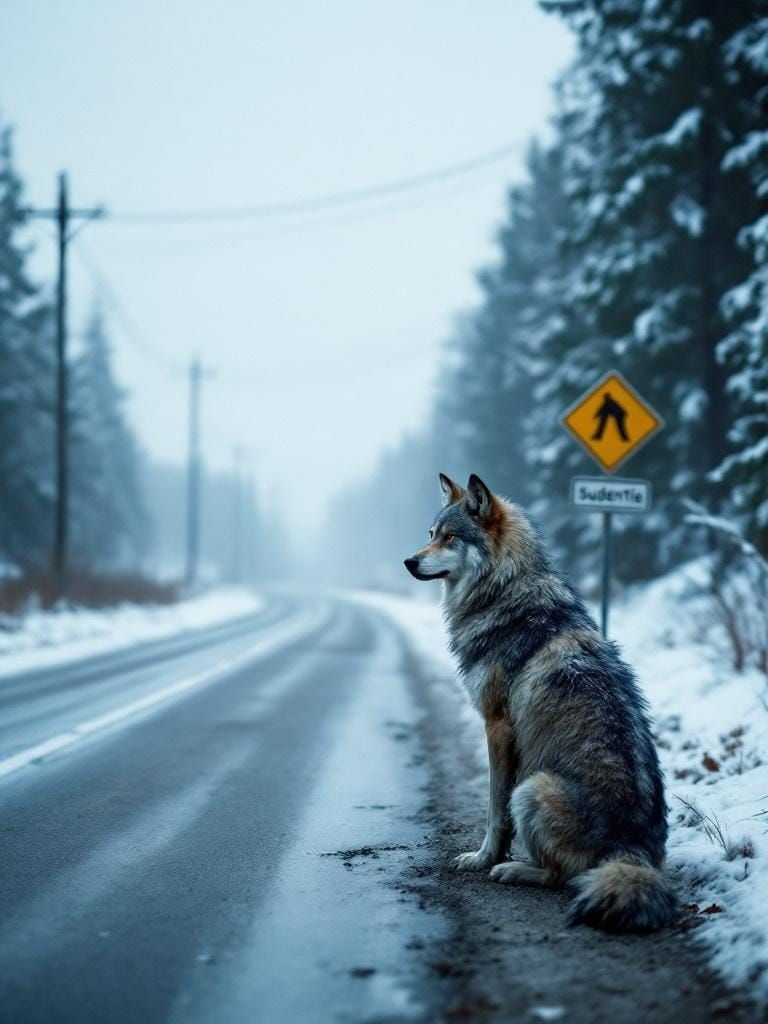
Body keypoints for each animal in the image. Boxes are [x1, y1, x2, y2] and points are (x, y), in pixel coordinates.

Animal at [404, 473, 676, 932]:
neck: (503, 591)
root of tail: (633, 850)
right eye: (430, 534)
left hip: (532, 786)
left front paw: (483, 858)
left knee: (563, 876)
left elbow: (495, 811)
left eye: (451, 537)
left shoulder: (497, 726)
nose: (408, 561)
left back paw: (513, 869)